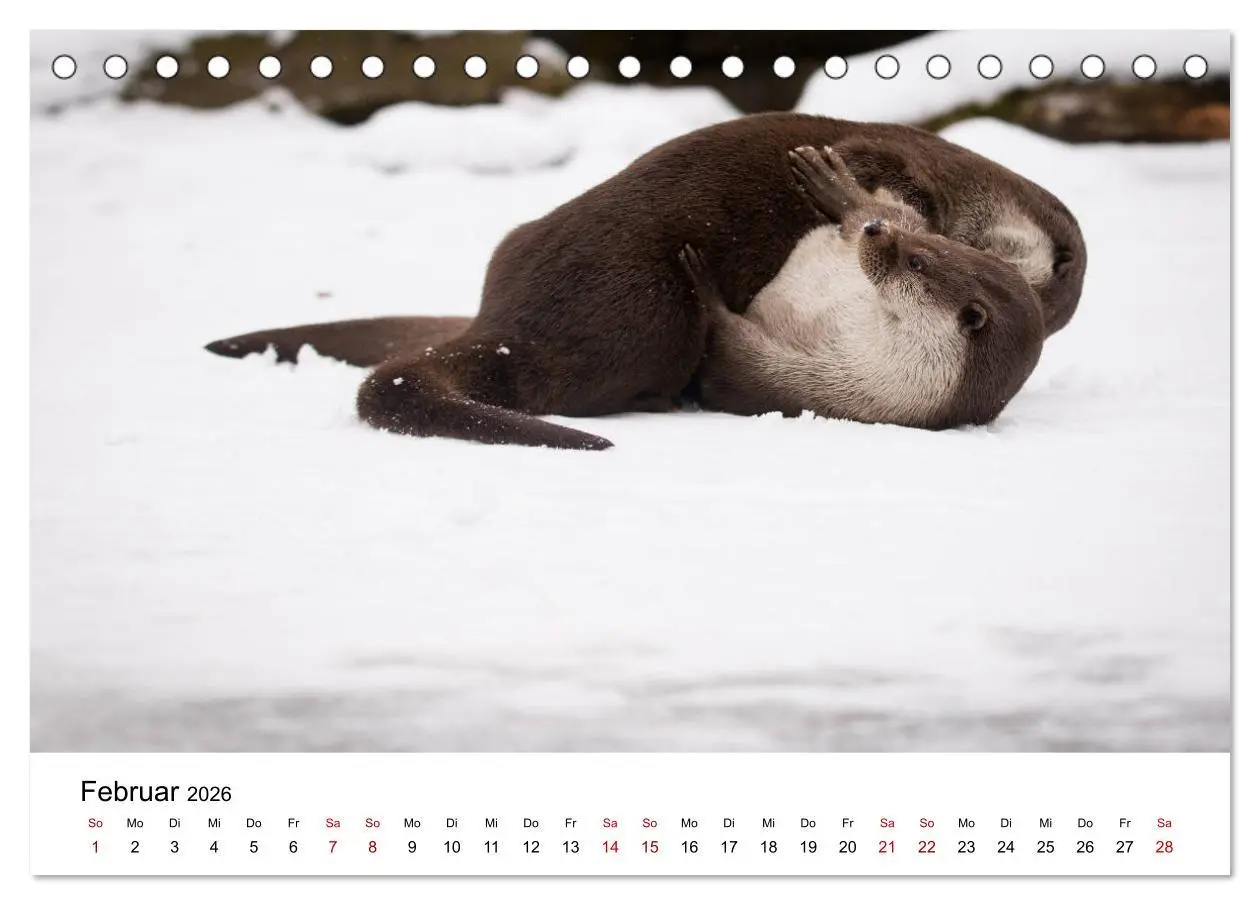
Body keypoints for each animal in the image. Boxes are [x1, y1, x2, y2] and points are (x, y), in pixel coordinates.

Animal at [205, 112, 1084, 450]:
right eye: (923, 257)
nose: (884, 242)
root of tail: (505, 330)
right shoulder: (911, 162)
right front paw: (844, 194)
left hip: (645, 311)